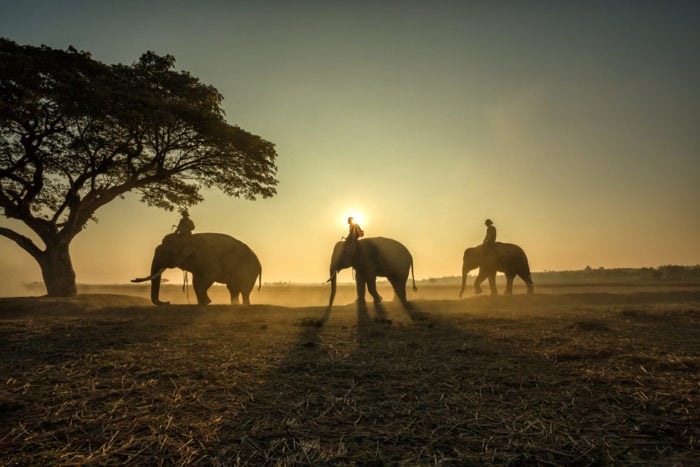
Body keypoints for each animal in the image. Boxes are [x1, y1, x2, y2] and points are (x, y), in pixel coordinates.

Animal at [133, 234, 262, 308]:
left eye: (167, 253)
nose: (168, 302)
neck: (186, 239)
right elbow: (196, 280)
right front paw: (203, 303)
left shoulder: (207, 257)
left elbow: (210, 275)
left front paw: (207, 302)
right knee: (233, 288)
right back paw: (235, 305)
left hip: (250, 269)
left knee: (244, 288)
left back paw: (245, 305)